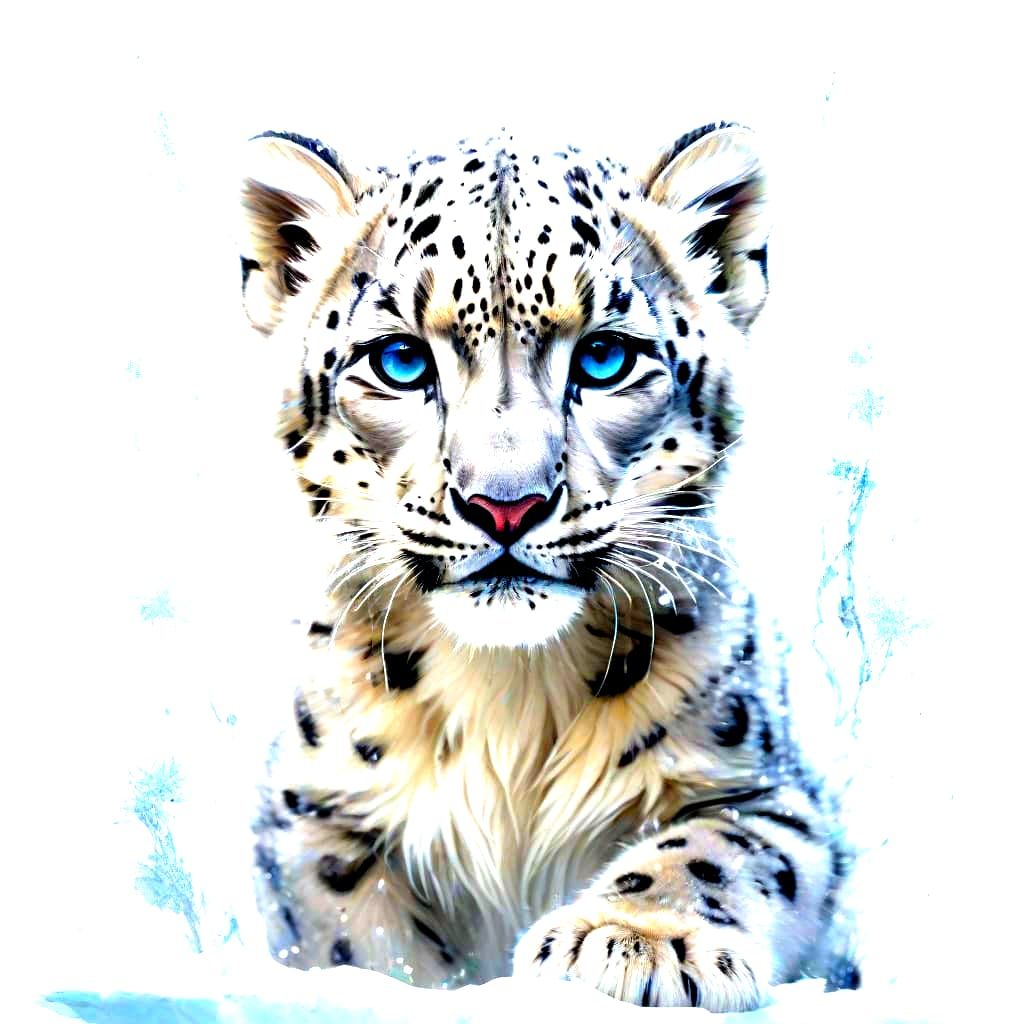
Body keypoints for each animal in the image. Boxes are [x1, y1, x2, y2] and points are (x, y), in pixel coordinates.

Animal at [237, 123, 857, 1011]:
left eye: (603, 358)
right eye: (399, 361)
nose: (505, 504)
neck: (509, 695)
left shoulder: (763, 785)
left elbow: (718, 851)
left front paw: (635, 940)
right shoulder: (314, 808)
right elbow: (354, 926)